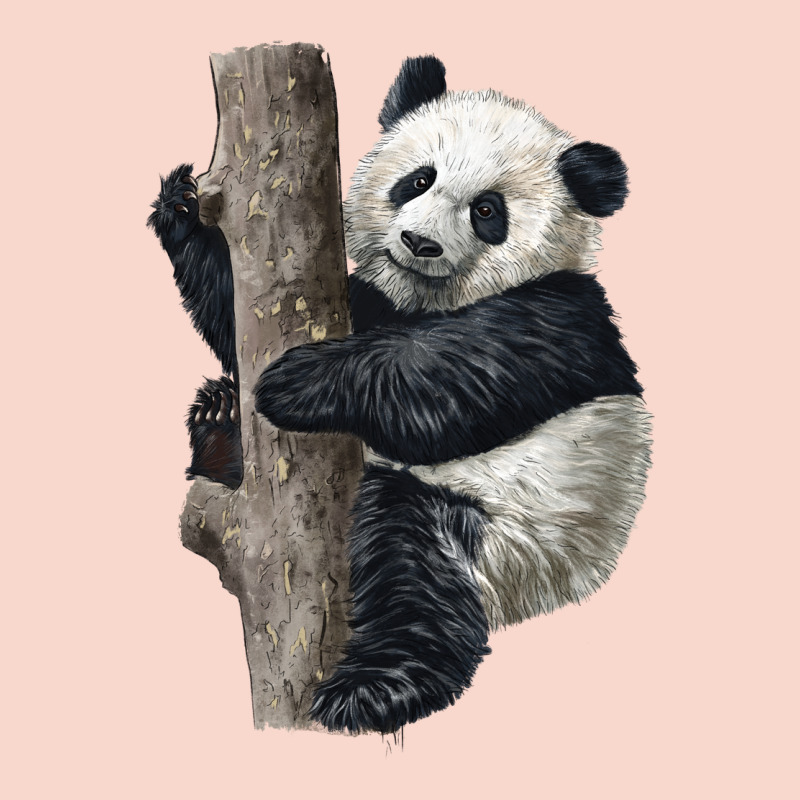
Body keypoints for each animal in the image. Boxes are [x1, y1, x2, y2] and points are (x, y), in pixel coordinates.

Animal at [149, 55, 651, 735]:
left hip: (509, 534)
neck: (429, 299)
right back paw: (217, 427)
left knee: (410, 567)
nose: (419, 244)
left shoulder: (559, 318)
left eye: (487, 211)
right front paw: (180, 207)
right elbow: (236, 320)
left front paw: (296, 381)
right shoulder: (371, 300)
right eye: (418, 180)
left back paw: (371, 692)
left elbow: (442, 388)